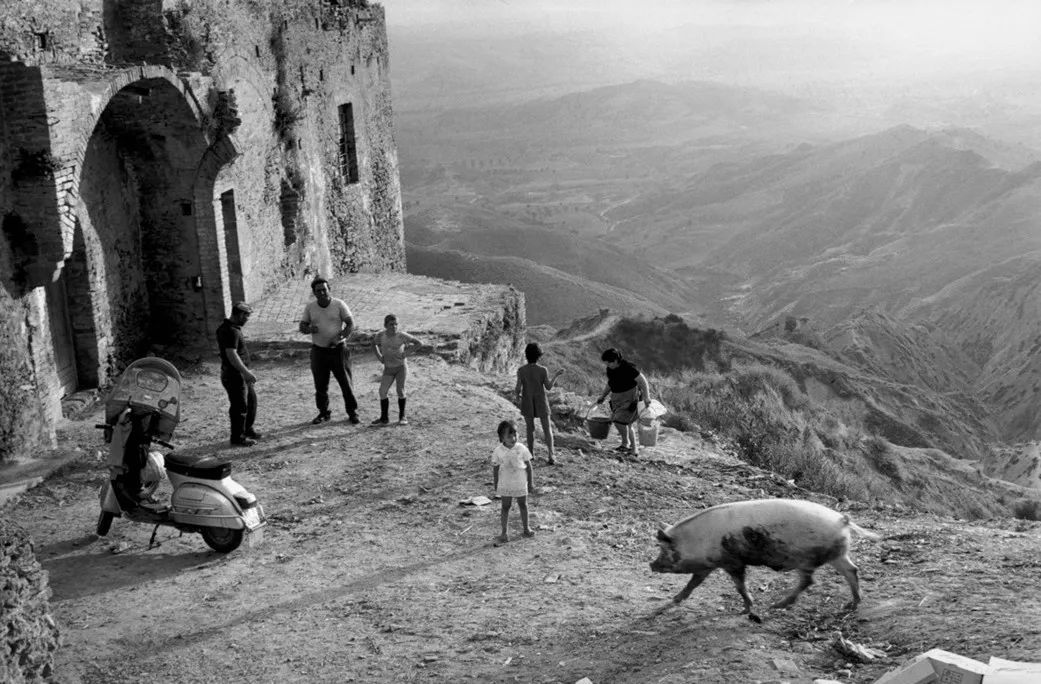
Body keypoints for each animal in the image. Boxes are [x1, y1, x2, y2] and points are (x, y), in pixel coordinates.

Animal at [649, 495, 878, 620]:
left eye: (664, 550)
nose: (651, 565)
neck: (697, 540)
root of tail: (842, 519)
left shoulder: (731, 562)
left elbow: (739, 586)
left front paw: (748, 608)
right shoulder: (709, 564)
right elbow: (693, 584)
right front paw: (672, 601)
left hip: (806, 559)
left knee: (808, 581)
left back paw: (777, 605)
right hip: (837, 555)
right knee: (852, 570)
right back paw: (853, 604)